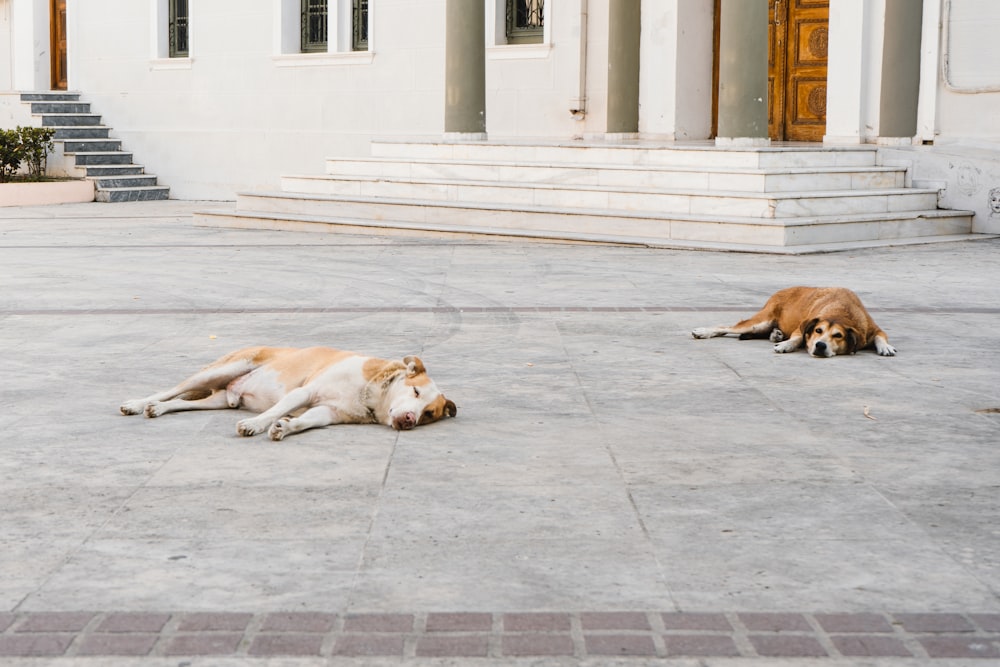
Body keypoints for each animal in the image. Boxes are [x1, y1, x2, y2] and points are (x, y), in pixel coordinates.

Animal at [120, 348, 458, 440]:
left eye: (429, 414)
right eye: (415, 390)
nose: (410, 419)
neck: (371, 392)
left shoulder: (329, 412)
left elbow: (308, 421)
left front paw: (286, 427)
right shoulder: (304, 392)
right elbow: (276, 409)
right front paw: (256, 425)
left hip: (217, 400)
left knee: (181, 402)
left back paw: (158, 409)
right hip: (222, 369)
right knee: (173, 390)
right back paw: (138, 403)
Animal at [692, 288, 896, 360]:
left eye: (838, 335)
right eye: (818, 330)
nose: (820, 345)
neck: (840, 310)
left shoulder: (873, 328)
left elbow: (881, 336)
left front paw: (885, 347)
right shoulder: (802, 327)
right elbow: (798, 338)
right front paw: (786, 345)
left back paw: (776, 334)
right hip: (760, 320)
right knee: (725, 327)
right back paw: (703, 331)